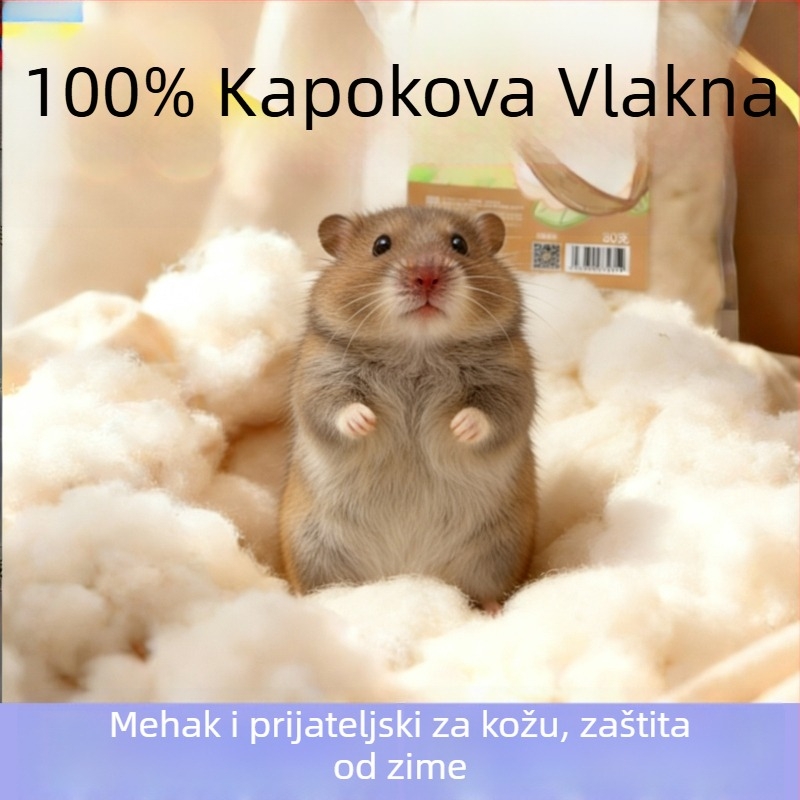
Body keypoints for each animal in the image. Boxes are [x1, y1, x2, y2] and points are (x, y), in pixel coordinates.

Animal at [279, 206, 537, 610]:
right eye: (380, 245)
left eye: (459, 244)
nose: (427, 275)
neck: (417, 349)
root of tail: (405, 570)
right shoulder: (318, 377)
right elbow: (337, 407)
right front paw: (365, 420)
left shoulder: (512, 381)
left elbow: (490, 414)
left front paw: (460, 426)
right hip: (310, 546)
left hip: (500, 549)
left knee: (487, 591)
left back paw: (492, 611)